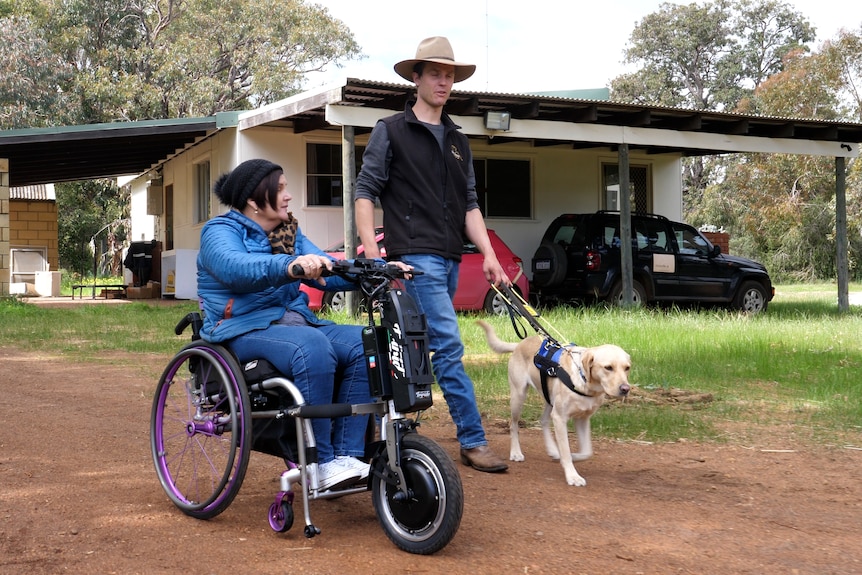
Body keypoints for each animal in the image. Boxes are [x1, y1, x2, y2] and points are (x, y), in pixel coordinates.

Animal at [476, 320, 632, 486]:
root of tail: (520, 344)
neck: (584, 381)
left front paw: (573, 456)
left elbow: (586, 452)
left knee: (543, 420)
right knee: (513, 425)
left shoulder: (582, 419)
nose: (625, 389)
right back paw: (516, 452)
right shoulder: (560, 418)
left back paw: (552, 450)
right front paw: (572, 475)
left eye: (627, 368)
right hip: (518, 396)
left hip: (549, 400)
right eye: (608, 367)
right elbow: (566, 450)